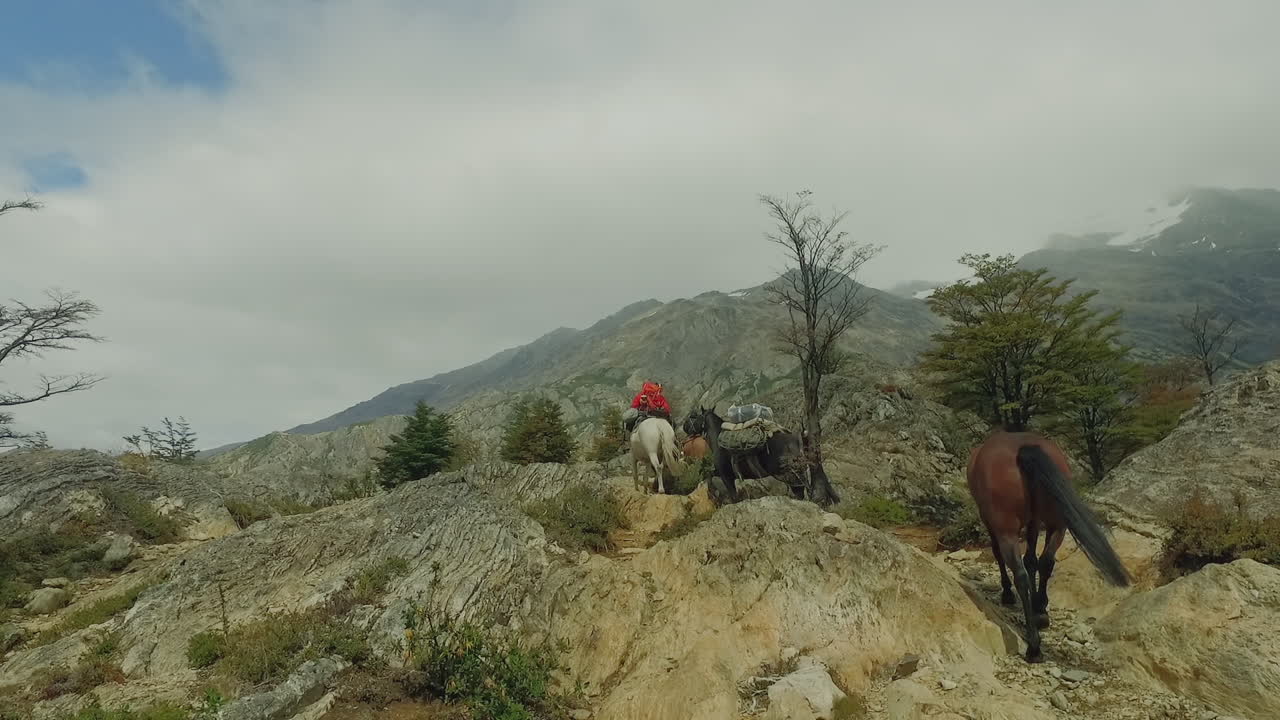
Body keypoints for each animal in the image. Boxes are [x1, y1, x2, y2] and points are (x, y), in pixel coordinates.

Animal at [693, 405, 839, 507]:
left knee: (801, 492)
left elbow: (732, 495)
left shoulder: (726, 477)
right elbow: (708, 475)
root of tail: (798, 438)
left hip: (793, 476)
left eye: (694, 417)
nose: (688, 430)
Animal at [967, 430, 1131, 664]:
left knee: (1020, 574)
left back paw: (1033, 646)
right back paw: (1040, 611)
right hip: (1057, 525)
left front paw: (1007, 593)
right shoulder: (1035, 522)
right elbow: (1032, 560)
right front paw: (1039, 608)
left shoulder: (992, 523)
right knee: (1046, 561)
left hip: (1007, 530)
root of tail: (1023, 448)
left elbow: (1001, 555)